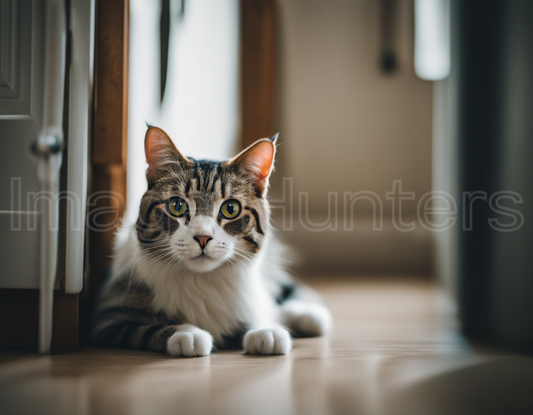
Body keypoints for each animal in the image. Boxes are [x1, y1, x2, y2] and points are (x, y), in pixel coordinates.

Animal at [93, 127, 330, 358]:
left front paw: (266, 331)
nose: (203, 237)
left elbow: (255, 315)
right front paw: (189, 334)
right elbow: (149, 329)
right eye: (177, 206)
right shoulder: (108, 319)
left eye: (230, 209)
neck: (202, 281)